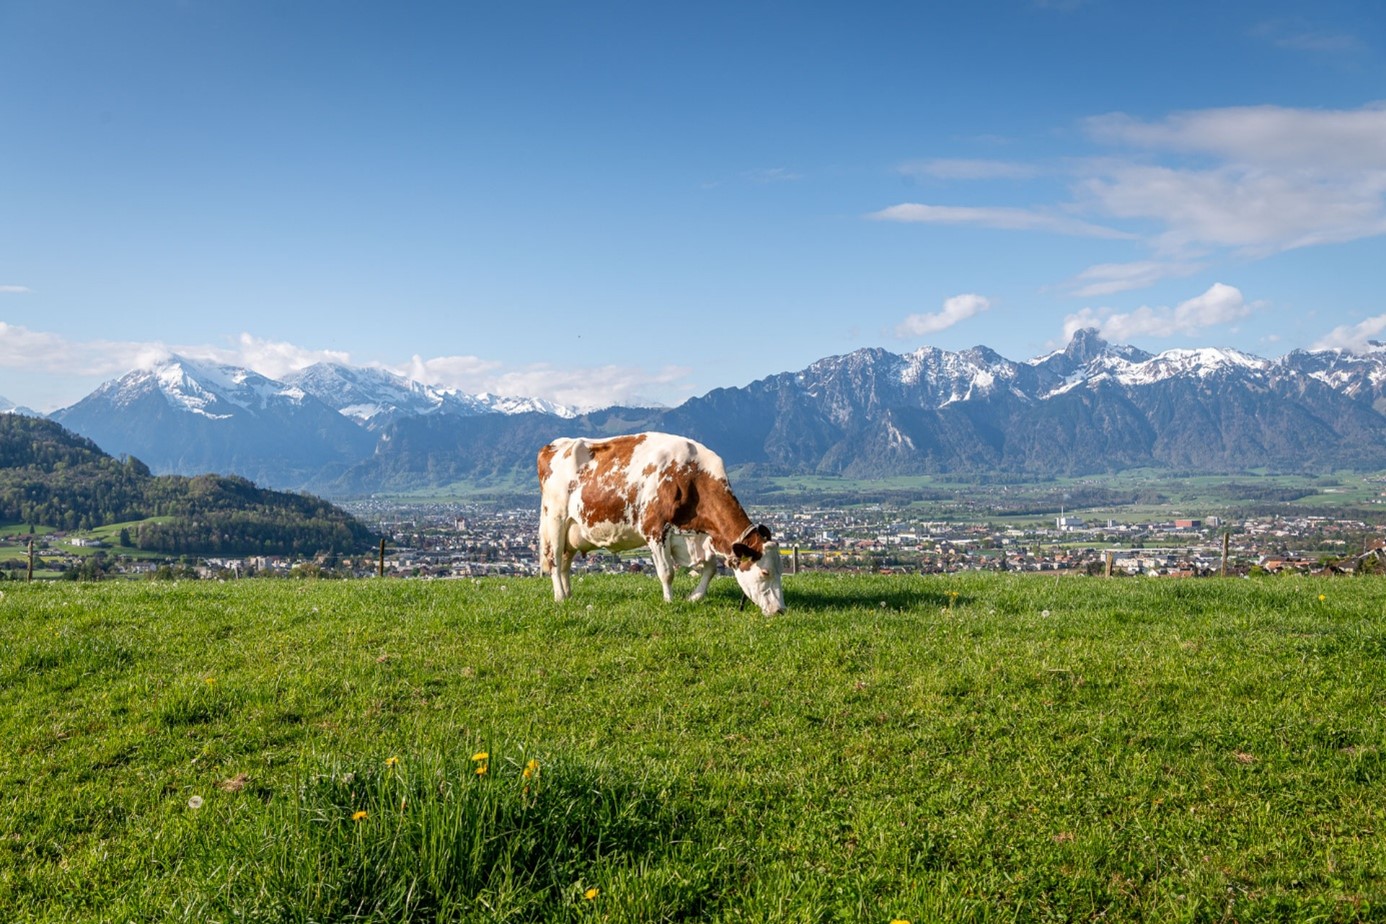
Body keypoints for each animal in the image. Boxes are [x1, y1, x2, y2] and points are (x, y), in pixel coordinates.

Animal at [537, 432, 785, 615]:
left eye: (781, 570)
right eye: (765, 572)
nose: (780, 610)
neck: (691, 476)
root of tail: (554, 446)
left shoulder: (695, 536)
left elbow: (711, 568)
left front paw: (694, 597)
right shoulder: (654, 529)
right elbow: (667, 572)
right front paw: (669, 601)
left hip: (572, 531)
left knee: (566, 563)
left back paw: (569, 594)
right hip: (555, 519)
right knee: (555, 560)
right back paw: (560, 597)